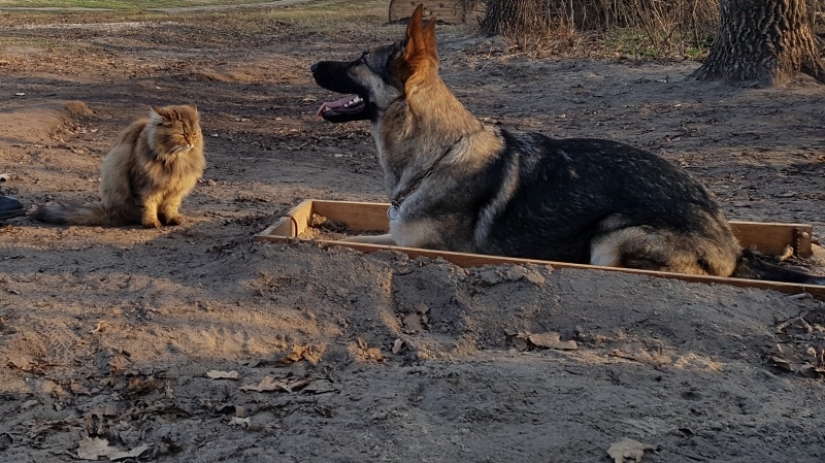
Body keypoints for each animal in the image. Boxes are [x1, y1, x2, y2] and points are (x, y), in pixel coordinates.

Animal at [312, 5, 820, 284]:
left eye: (359, 61)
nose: (314, 65)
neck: (438, 153)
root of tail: (731, 242)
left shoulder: (410, 245)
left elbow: (350, 239)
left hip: (609, 236)